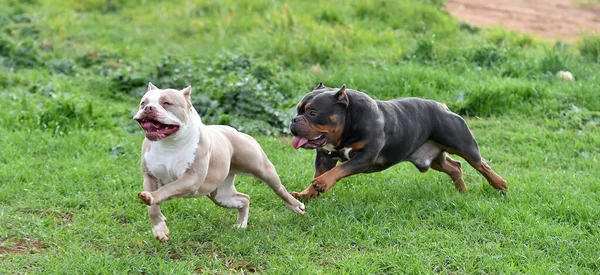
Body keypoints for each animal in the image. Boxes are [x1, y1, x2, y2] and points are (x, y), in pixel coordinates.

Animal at [288, 82, 508, 201]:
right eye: (298, 110)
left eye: (313, 113)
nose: (294, 120)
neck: (348, 121)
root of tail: (443, 107)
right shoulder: (325, 157)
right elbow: (321, 171)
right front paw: (306, 194)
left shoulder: (364, 157)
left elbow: (339, 170)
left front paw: (322, 183)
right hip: (434, 159)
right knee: (454, 167)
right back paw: (462, 191)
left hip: (463, 145)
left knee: (481, 165)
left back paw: (500, 184)